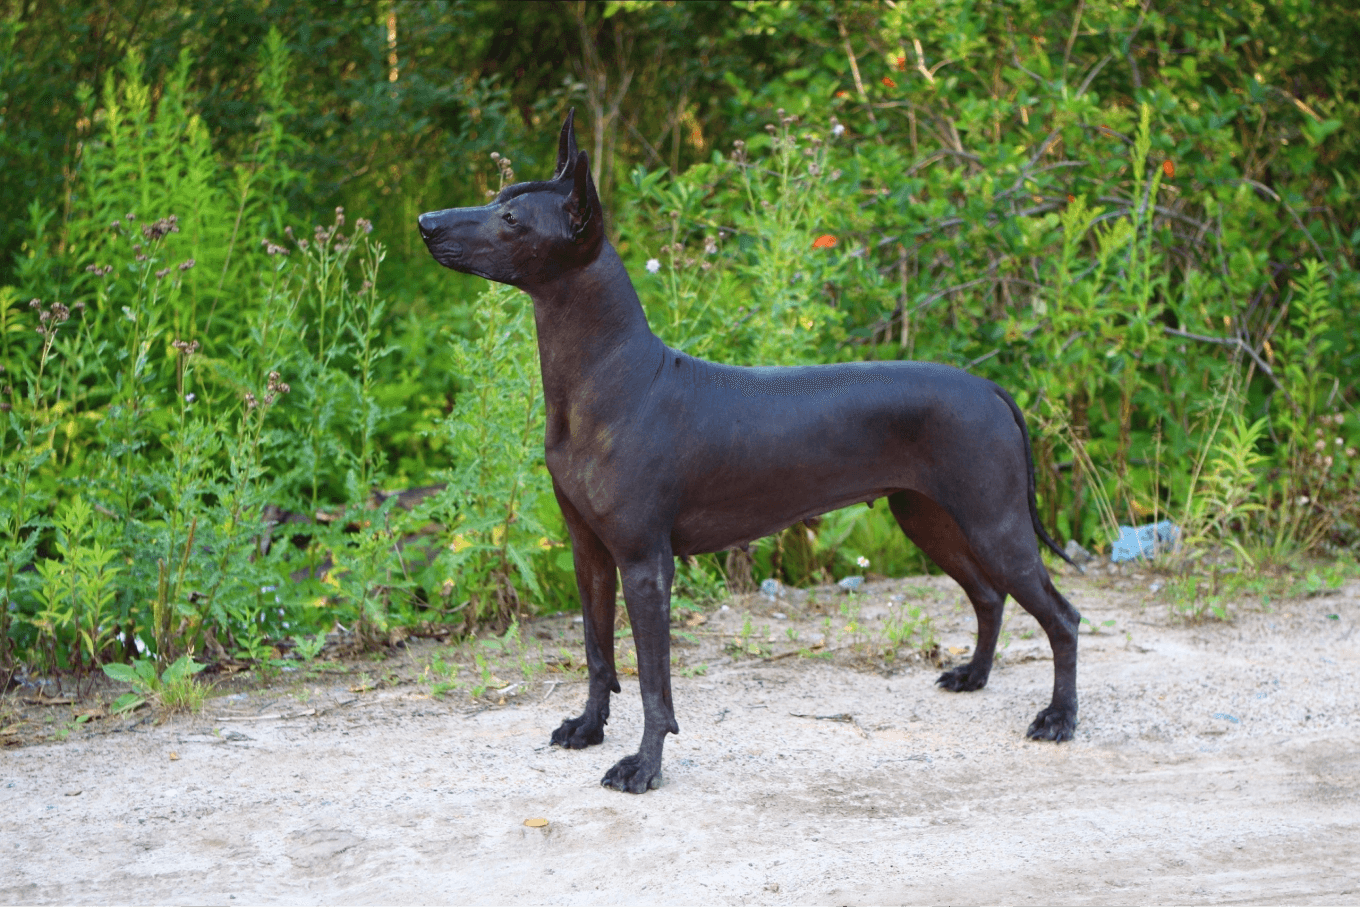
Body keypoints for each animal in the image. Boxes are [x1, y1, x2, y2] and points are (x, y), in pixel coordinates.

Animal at [418, 111, 1077, 794]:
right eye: (499, 199)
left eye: (511, 219)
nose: (426, 221)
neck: (611, 379)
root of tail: (990, 388)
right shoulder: (589, 552)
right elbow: (598, 654)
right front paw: (588, 728)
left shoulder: (645, 563)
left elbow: (655, 686)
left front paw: (643, 766)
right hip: (928, 518)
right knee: (989, 596)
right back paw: (974, 676)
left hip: (995, 522)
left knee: (1062, 617)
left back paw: (1059, 718)